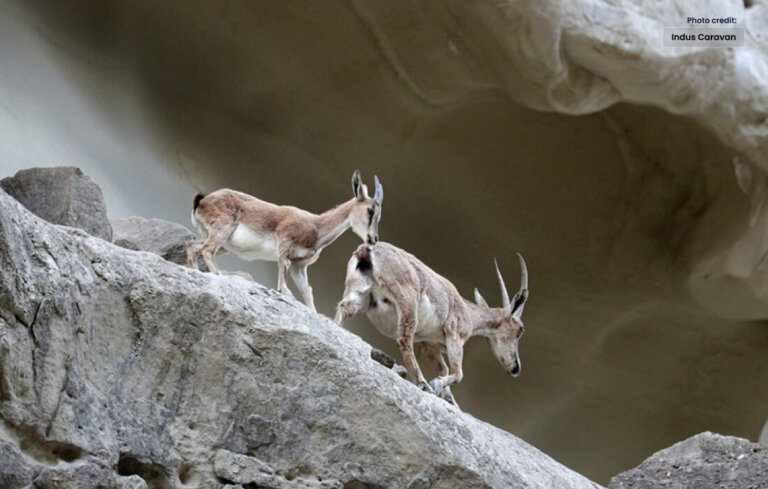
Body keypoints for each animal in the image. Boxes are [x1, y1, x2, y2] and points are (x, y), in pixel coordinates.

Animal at [187, 170, 383, 312]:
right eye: (370, 210)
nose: (373, 239)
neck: (317, 226)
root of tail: (201, 202)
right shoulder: (284, 239)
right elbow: (283, 265)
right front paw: (283, 292)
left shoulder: (300, 265)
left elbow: (307, 291)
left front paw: (314, 312)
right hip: (221, 231)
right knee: (206, 249)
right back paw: (217, 273)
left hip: (222, 243)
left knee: (193, 246)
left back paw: (194, 270)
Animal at [335, 242, 528, 406]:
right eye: (520, 331)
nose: (516, 368)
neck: (469, 313)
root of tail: (368, 251)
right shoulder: (454, 335)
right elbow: (457, 373)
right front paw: (436, 384)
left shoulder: (429, 344)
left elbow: (443, 368)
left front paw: (451, 401)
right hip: (407, 302)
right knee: (404, 340)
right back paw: (423, 383)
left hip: (359, 293)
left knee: (343, 308)